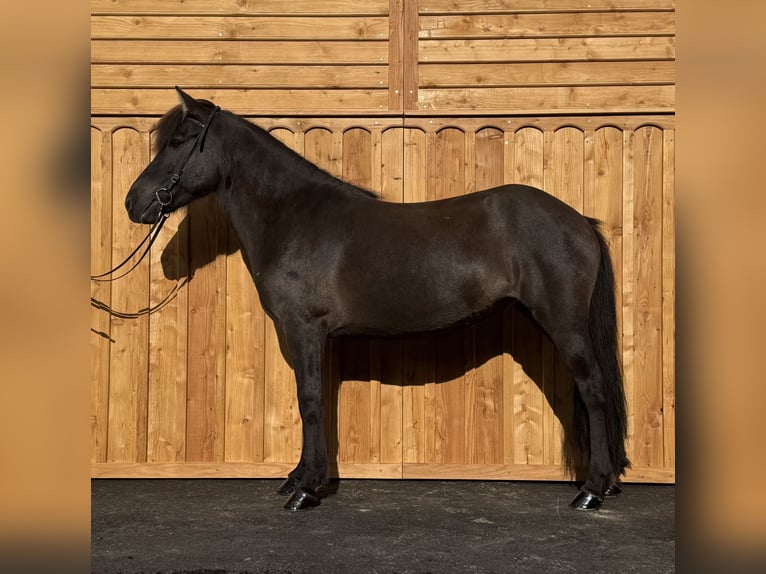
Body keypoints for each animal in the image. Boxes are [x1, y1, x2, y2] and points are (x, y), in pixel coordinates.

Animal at [125, 88, 629, 512]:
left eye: (179, 141)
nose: (134, 203)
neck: (294, 218)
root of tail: (578, 221)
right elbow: (313, 400)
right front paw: (298, 478)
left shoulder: (306, 330)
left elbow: (310, 400)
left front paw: (306, 490)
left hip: (565, 325)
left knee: (594, 391)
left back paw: (591, 491)